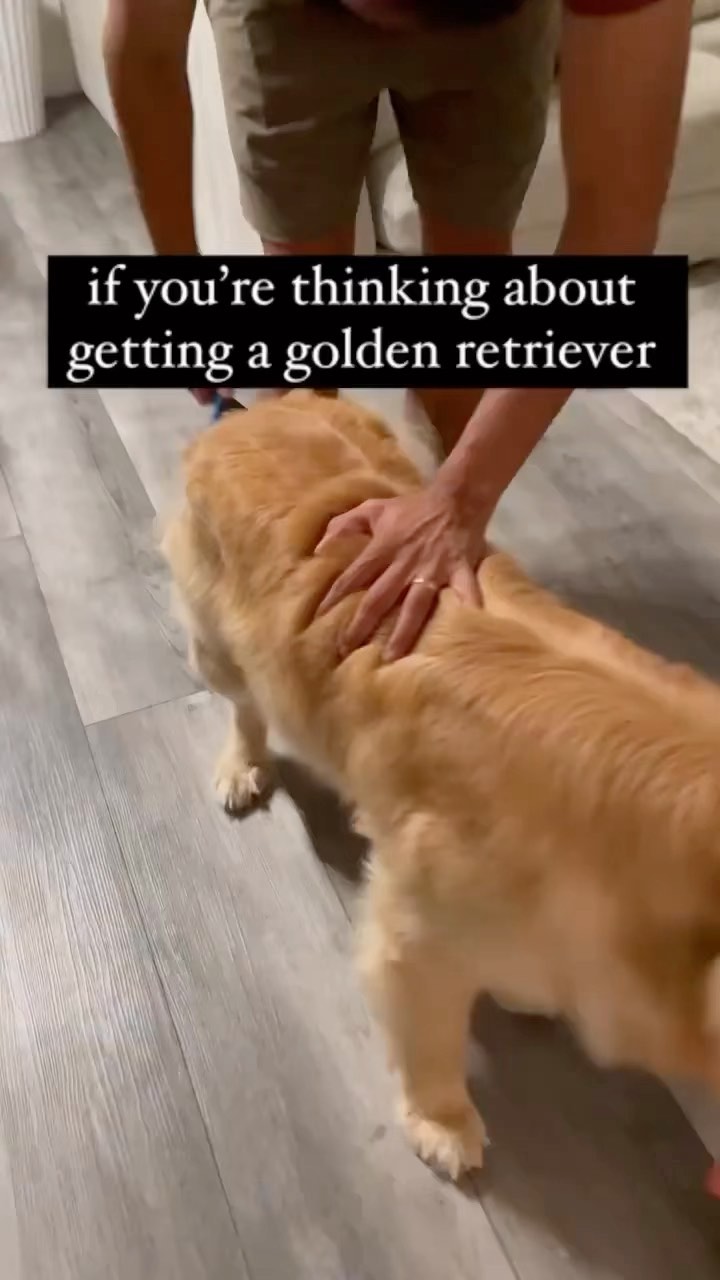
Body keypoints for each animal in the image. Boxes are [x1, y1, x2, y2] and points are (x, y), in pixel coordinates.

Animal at [162, 389, 720, 1181]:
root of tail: (261, 408)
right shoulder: (418, 941)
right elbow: (431, 1045)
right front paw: (443, 1123)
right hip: (219, 646)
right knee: (245, 709)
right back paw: (243, 765)